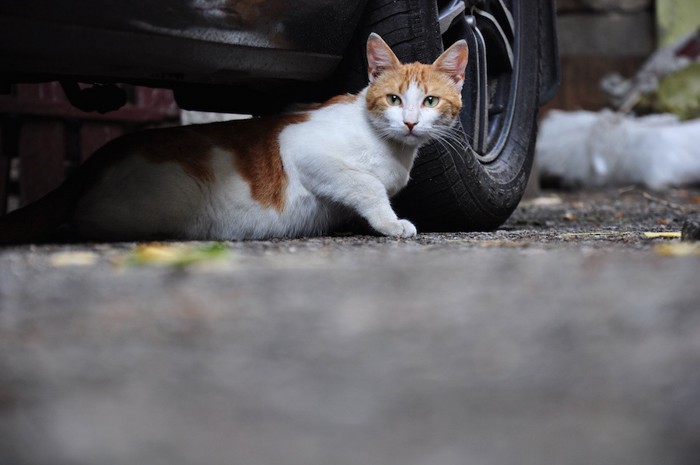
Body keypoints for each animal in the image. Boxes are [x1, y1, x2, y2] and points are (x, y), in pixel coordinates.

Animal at [1, 32, 470, 243]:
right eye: (393, 98)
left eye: (429, 101)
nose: (409, 122)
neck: (391, 148)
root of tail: (97, 158)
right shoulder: (305, 149)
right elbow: (367, 185)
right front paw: (391, 223)